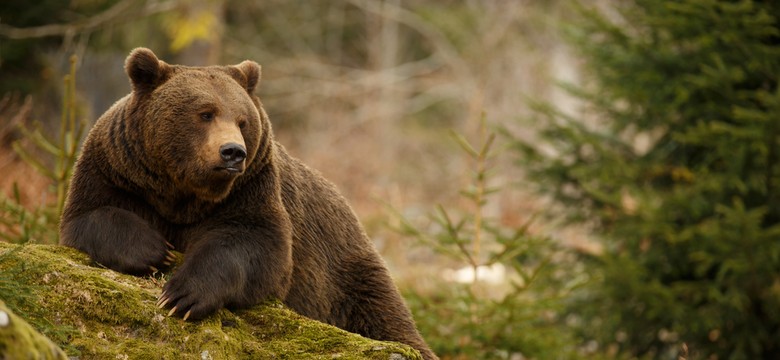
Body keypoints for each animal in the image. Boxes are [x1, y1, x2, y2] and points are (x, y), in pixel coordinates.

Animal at [59, 47, 438, 360]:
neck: (183, 193)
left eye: (242, 120)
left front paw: (182, 295)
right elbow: (89, 215)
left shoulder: (251, 189)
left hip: (344, 272)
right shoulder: (117, 170)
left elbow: (255, 245)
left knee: (384, 316)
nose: (232, 152)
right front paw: (154, 250)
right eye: (205, 113)